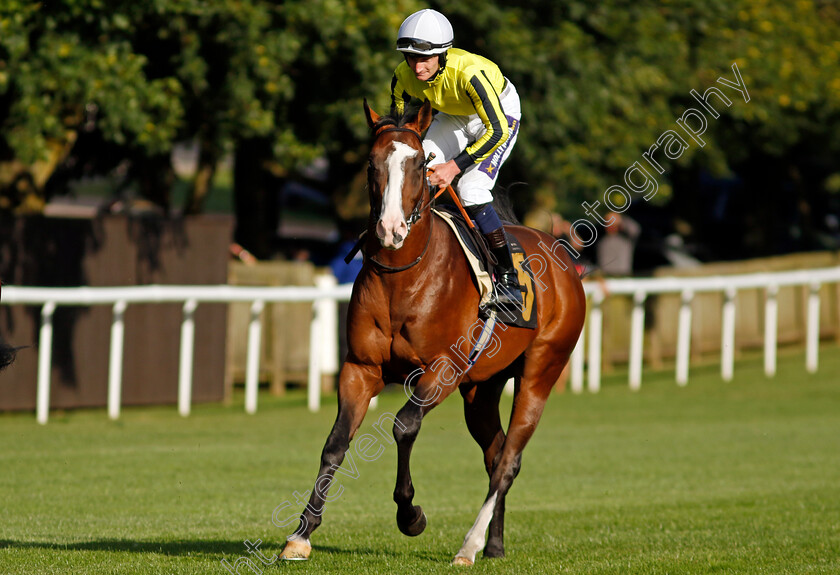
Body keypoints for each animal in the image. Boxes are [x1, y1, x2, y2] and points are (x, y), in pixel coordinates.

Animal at [280, 100, 584, 568]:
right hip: (482, 388)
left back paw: (469, 545)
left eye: (420, 164)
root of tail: (562, 254)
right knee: (496, 452)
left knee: (509, 461)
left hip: (541, 371)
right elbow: (335, 443)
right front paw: (300, 535)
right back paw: (493, 545)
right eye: (371, 164)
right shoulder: (361, 368)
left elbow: (404, 427)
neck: (402, 277)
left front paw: (411, 515)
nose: (390, 230)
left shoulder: (443, 368)